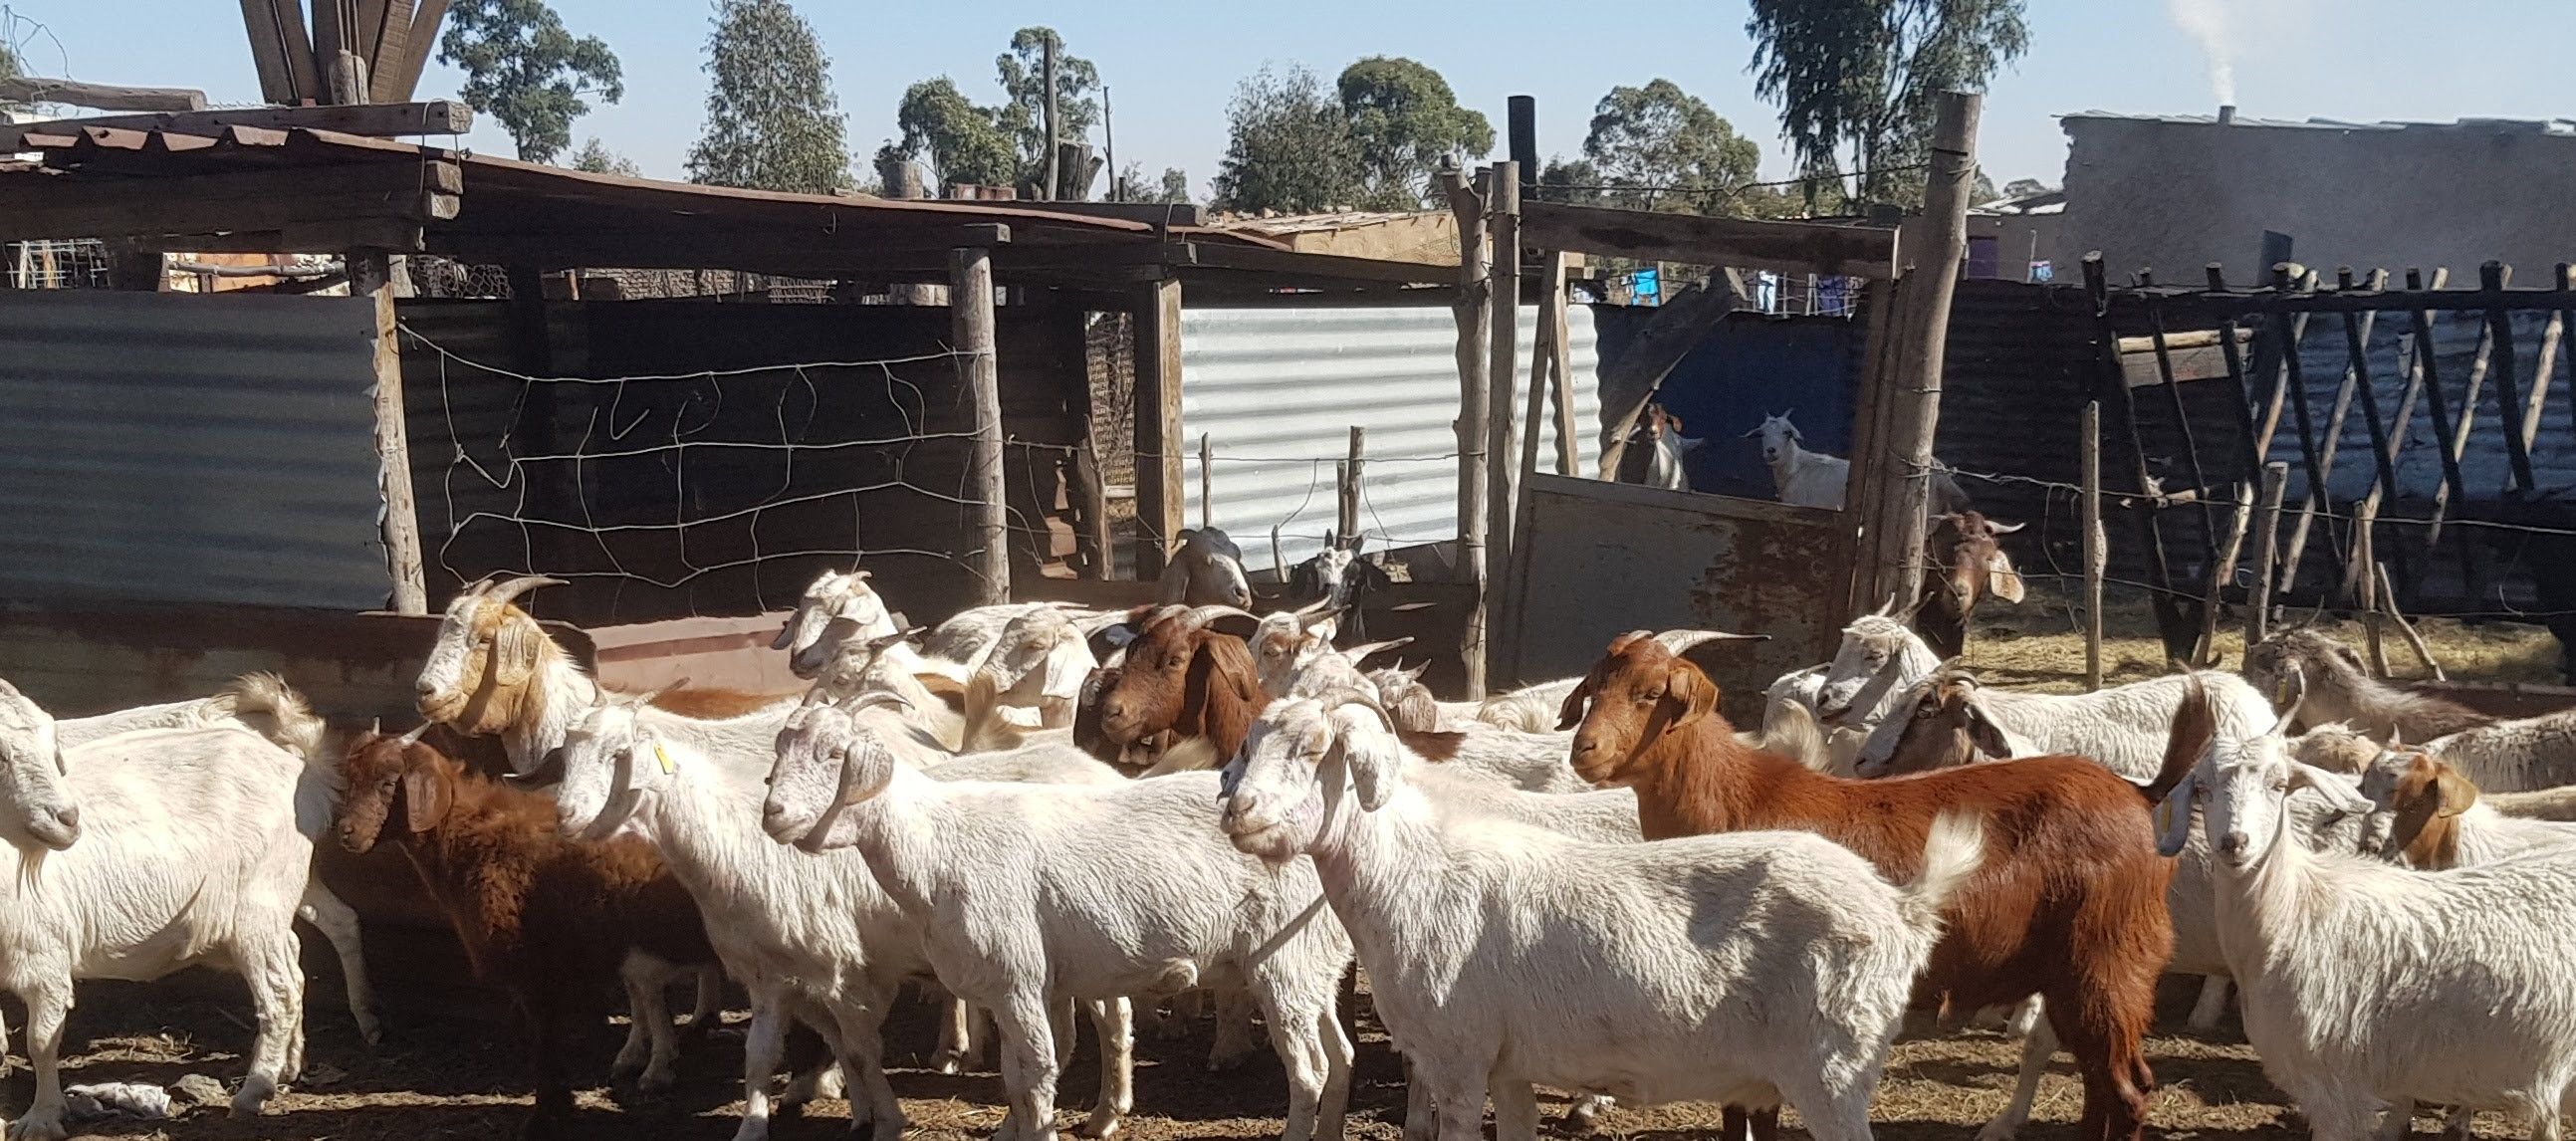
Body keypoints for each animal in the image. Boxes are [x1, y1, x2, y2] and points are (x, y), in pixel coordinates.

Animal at [0, 685, 314, 1138]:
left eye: (53, 746)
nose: (68, 819)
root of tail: (291, 764)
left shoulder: (43, 955)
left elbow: (40, 1041)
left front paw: (42, 1117)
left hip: (259, 906)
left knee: (280, 993)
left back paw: (253, 1092)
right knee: (294, 962)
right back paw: (288, 1066)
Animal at [762, 690, 1359, 1141]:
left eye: (835, 755)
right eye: (779, 754)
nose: (773, 814)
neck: (935, 842)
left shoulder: (1018, 979)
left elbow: (1035, 1076)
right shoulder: (1011, 986)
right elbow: (1015, 1077)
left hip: (1282, 964)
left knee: (1310, 1071)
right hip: (1314, 965)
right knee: (1341, 1055)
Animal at [1216, 690, 1978, 1141]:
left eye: (1318, 750)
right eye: (1249, 745)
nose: (1238, 812)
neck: (1413, 872)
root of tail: (1902, 907)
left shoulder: (1457, 1060)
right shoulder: (1507, 1069)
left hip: (1834, 1069)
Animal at [1555, 630, 2184, 1141]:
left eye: (1651, 694)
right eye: (1594, 688)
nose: (1583, 750)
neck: (1740, 797)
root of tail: (2139, 797)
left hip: (2106, 963)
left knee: (2128, 1091)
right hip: (2074, 979)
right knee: (2103, 1086)